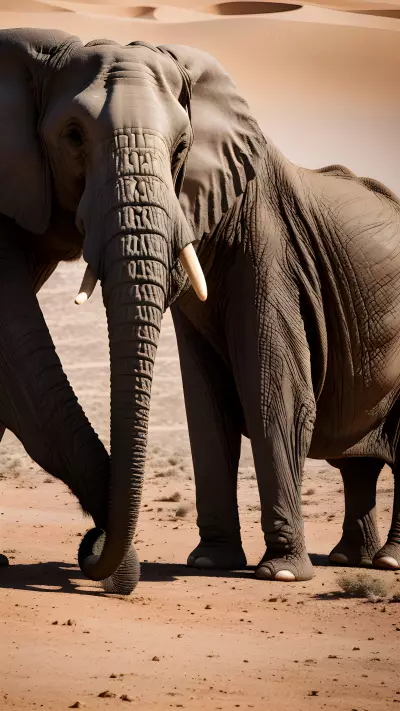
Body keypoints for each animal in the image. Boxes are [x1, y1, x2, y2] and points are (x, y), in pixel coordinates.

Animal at [0, 28, 399, 595]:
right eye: (73, 136)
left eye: (181, 149)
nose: (89, 550)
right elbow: (207, 408)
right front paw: (211, 562)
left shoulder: (272, 245)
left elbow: (272, 392)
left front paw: (279, 573)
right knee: (357, 464)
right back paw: (351, 559)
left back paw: (386, 562)